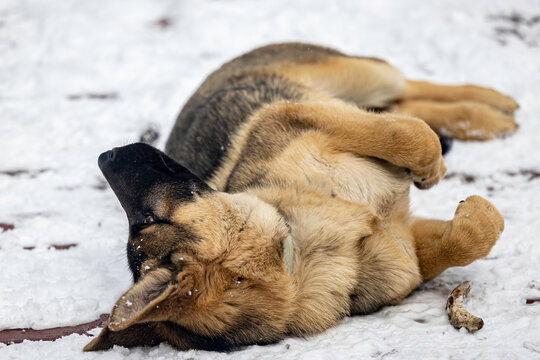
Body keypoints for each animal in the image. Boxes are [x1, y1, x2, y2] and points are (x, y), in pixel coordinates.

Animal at [84, 42, 520, 352]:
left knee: (406, 91)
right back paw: (485, 118)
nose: (105, 157)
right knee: (404, 102)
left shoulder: (290, 115)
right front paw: (474, 210)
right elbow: (467, 237)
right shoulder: (405, 247)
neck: (297, 250)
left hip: (356, 76)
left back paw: (492, 106)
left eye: (146, 218)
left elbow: (408, 135)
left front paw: (431, 169)